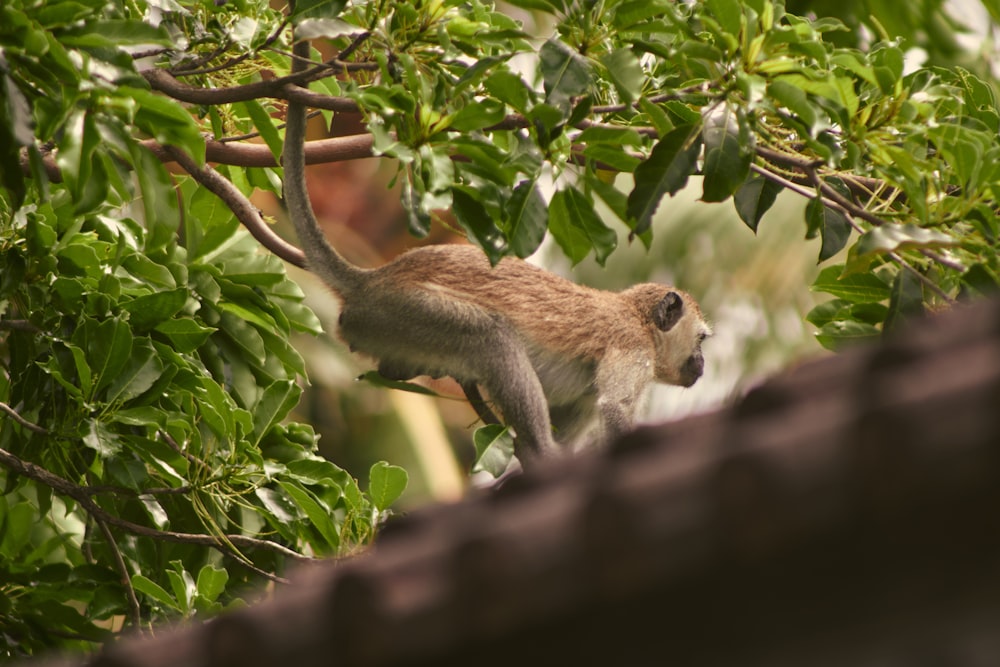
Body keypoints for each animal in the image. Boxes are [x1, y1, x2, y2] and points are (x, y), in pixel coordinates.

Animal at [282, 39, 712, 468]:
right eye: (702, 340)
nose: (702, 365)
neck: (639, 320)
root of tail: (374, 280)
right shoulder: (631, 346)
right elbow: (616, 409)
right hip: (396, 311)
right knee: (490, 338)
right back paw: (537, 448)